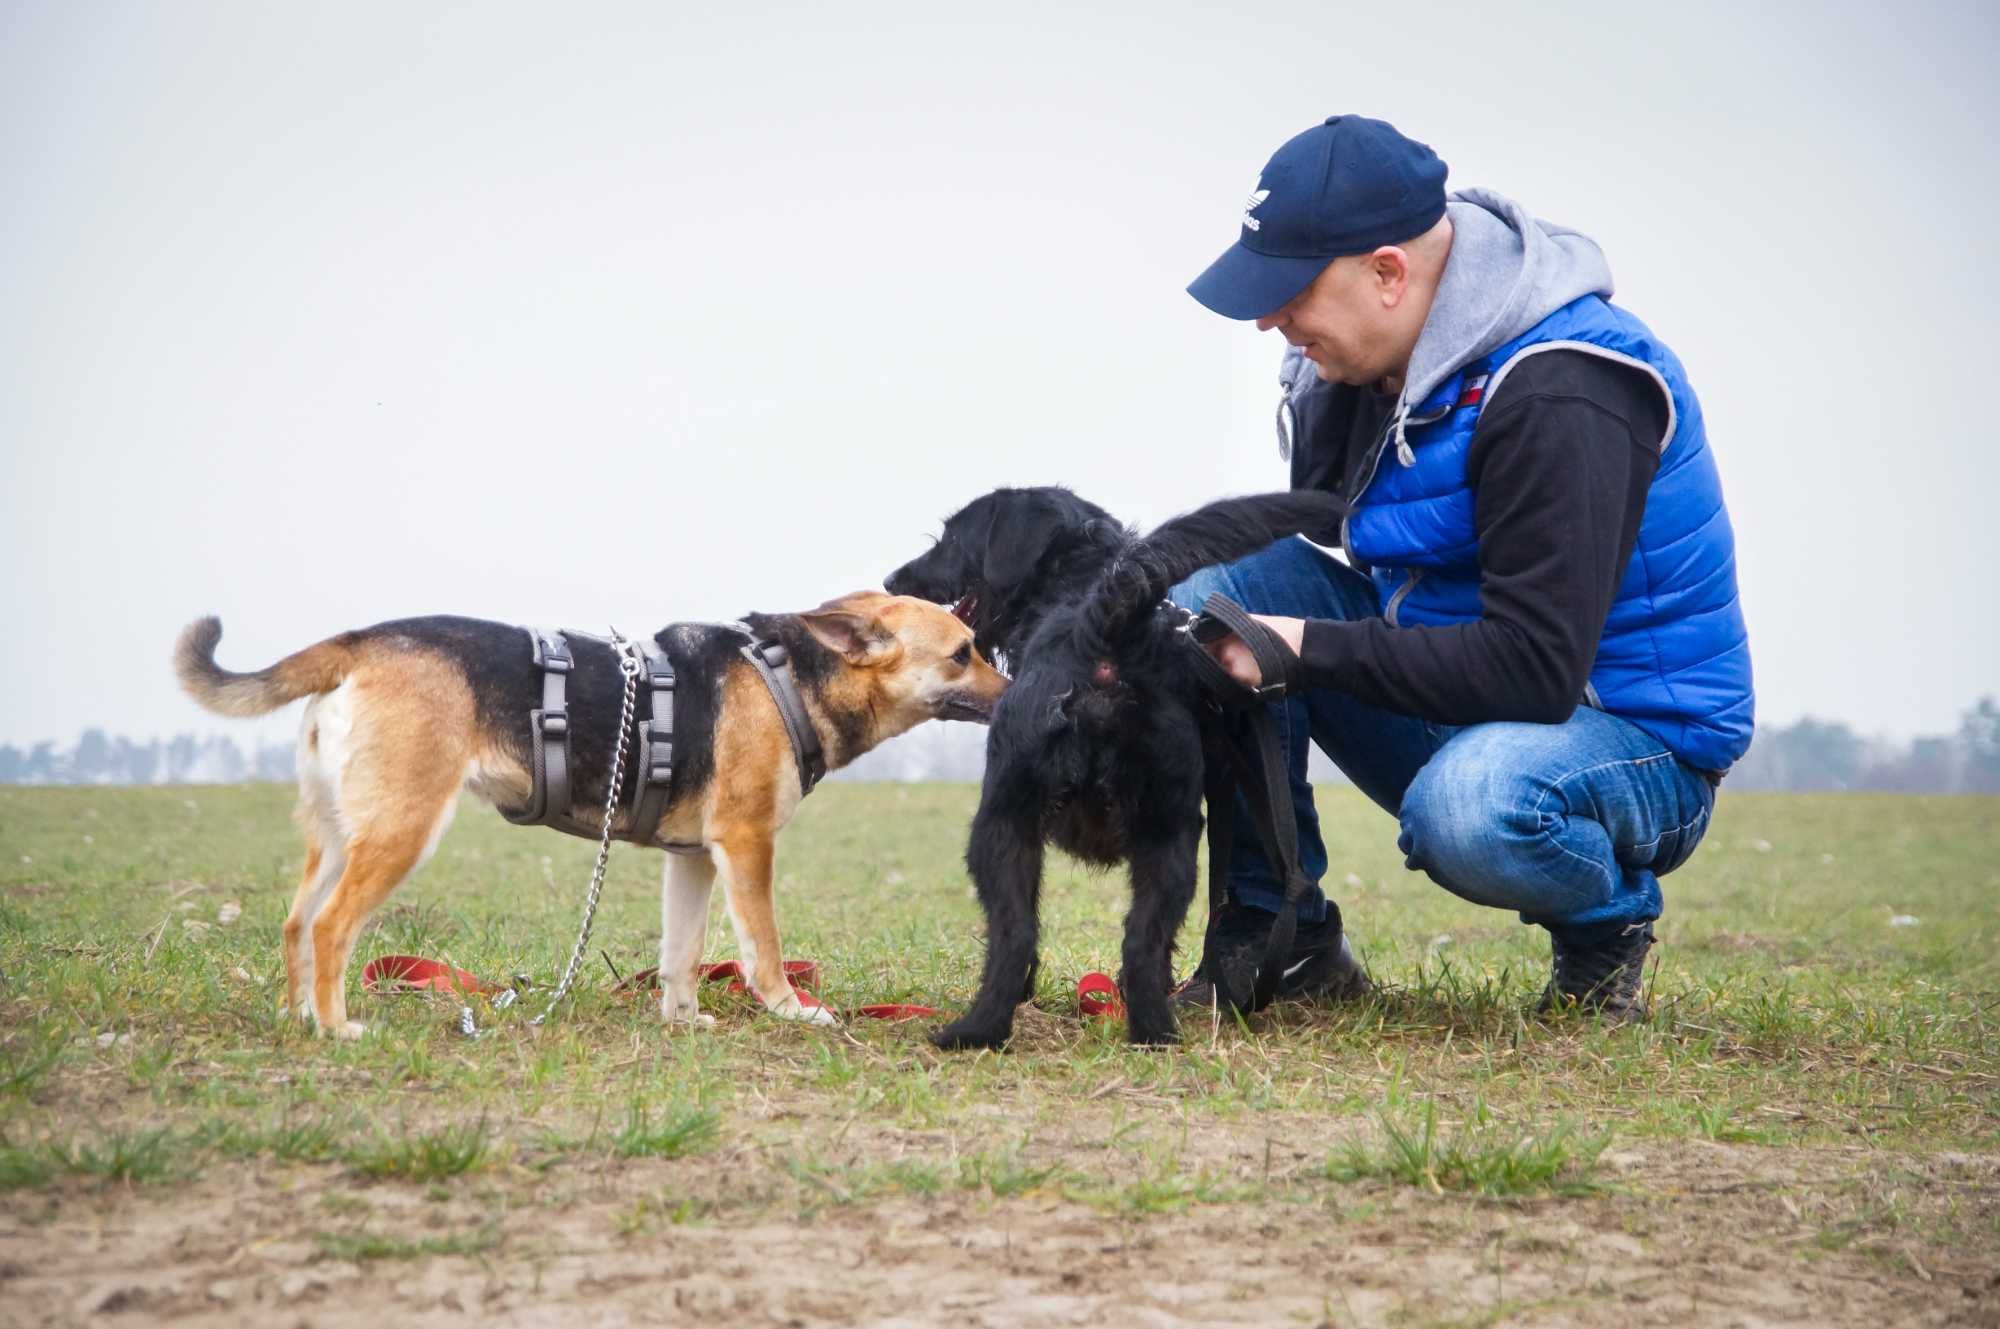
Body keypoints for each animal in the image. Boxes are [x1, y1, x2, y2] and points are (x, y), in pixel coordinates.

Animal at [178, 596, 1008, 1040]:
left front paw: (681, 1020)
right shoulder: (746, 846)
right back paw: (338, 1026)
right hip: (400, 831)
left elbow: (682, 952)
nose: (1022, 688)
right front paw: (792, 1010)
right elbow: (764, 948)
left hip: (336, 834)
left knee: (296, 922)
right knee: (330, 927)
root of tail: (361, 640)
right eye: (964, 652)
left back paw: (298, 1018)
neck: (792, 674)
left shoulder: (693, 857)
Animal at [888, 488, 1344, 1048]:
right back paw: (1144, 1032)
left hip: (1000, 826)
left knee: (1017, 936)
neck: (1076, 582)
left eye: (952, 538)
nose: (891, 582)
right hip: (1167, 839)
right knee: (1127, 942)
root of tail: (1102, 627)